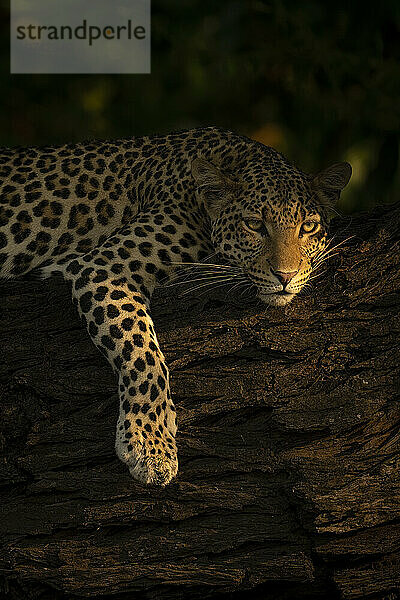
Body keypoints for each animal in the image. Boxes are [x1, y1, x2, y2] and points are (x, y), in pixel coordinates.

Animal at [0, 126, 350, 488]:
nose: (286, 275)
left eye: (308, 227)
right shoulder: (105, 267)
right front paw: (150, 445)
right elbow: (142, 353)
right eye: (254, 225)